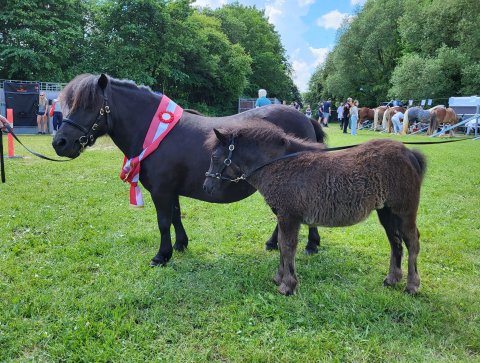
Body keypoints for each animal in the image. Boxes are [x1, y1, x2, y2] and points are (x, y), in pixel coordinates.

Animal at [52, 74, 328, 268]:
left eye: (90, 105)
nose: (60, 142)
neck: (157, 133)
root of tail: (306, 119)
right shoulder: (170, 190)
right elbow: (175, 216)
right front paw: (180, 244)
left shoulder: (161, 191)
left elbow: (163, 221)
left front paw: (161, 255)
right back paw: (274, 243)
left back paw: (311, 244)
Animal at [204, 122, 426, 296]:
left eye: (215, 156)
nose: (206, 186)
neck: (280, 165)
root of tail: (409, 153)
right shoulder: (283, 217)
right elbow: (282, 245)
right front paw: (279, 277)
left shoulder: (289, 217)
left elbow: (287, 247)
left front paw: (288, 286)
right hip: (386, 212)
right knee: (395, 242)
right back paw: (392, 279)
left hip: (405, 211)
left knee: (412, 242)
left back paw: (412, 286)